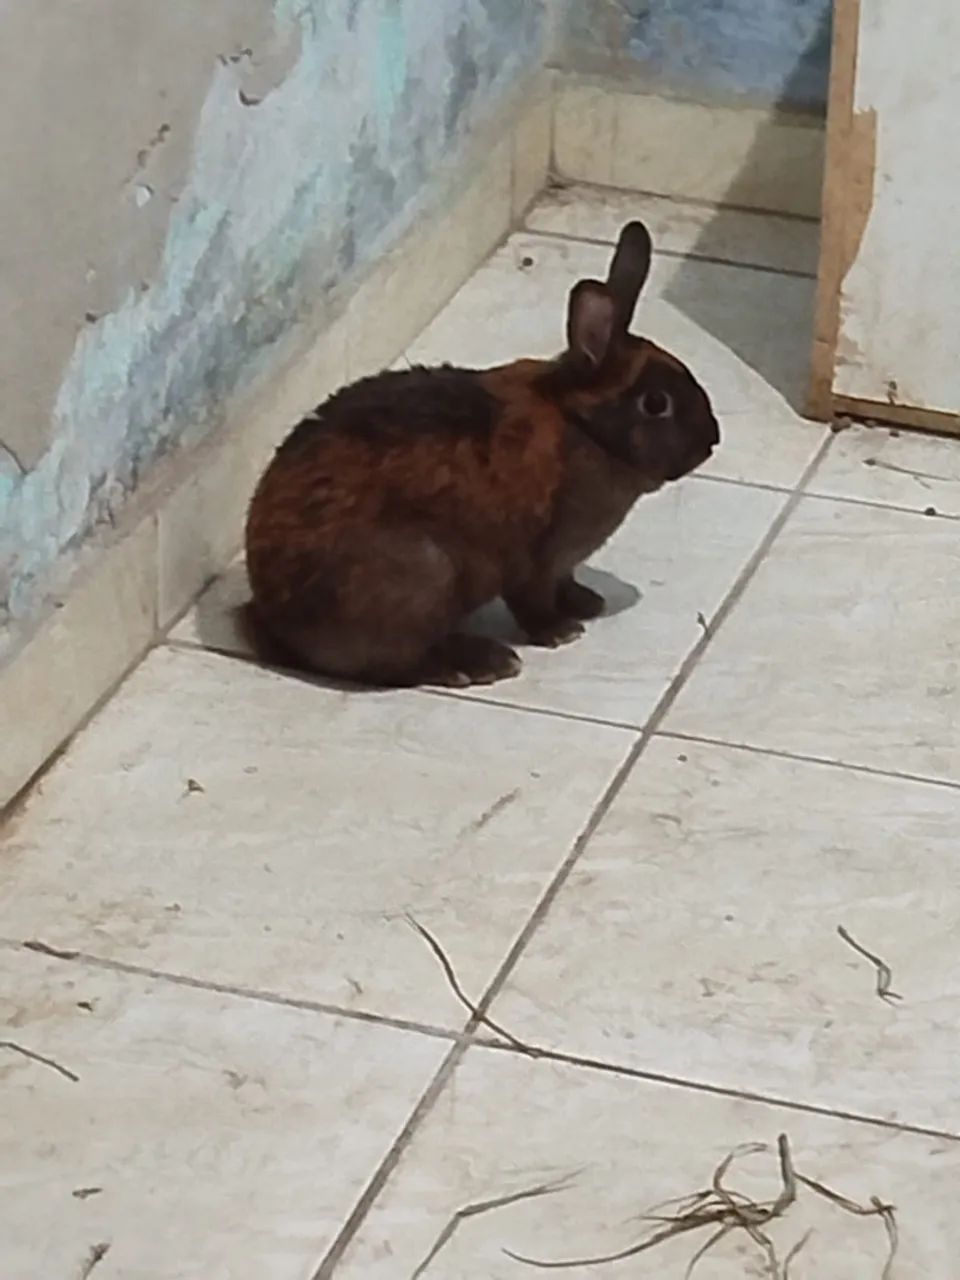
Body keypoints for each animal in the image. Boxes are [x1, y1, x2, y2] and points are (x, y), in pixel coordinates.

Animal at [244, 220, 719, 688]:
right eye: (655, 403)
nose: (713, 440)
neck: (582, 426)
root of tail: (276, 617)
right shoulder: (536, 559)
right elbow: (532, 600)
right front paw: (561, 632)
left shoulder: (561, 564)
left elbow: (565, 584)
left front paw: (586, 603)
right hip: (421, 577)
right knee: (395, 664)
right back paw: (481, 663)